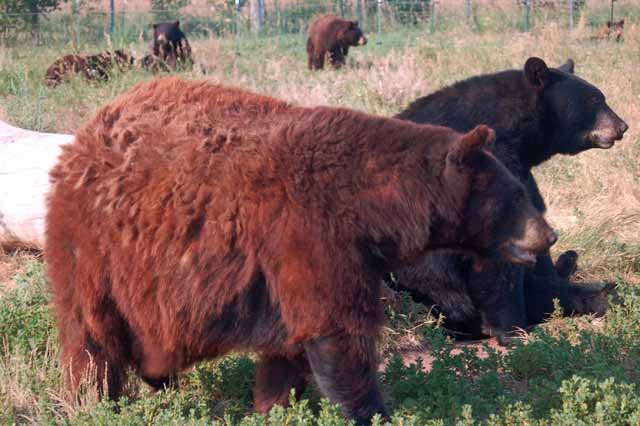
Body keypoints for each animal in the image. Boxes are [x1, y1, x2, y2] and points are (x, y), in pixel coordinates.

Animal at [45, 78, 556, 425]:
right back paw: (93, 401)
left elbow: (288, 351)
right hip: (94, 248)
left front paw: (276, 406)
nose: (548, 235)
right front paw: (371, 409)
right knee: (90, 336)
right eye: (517, 196)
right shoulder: (309, 233)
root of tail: (83, 136)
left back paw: (158, 382)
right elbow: (337, 335)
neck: (373, 203)